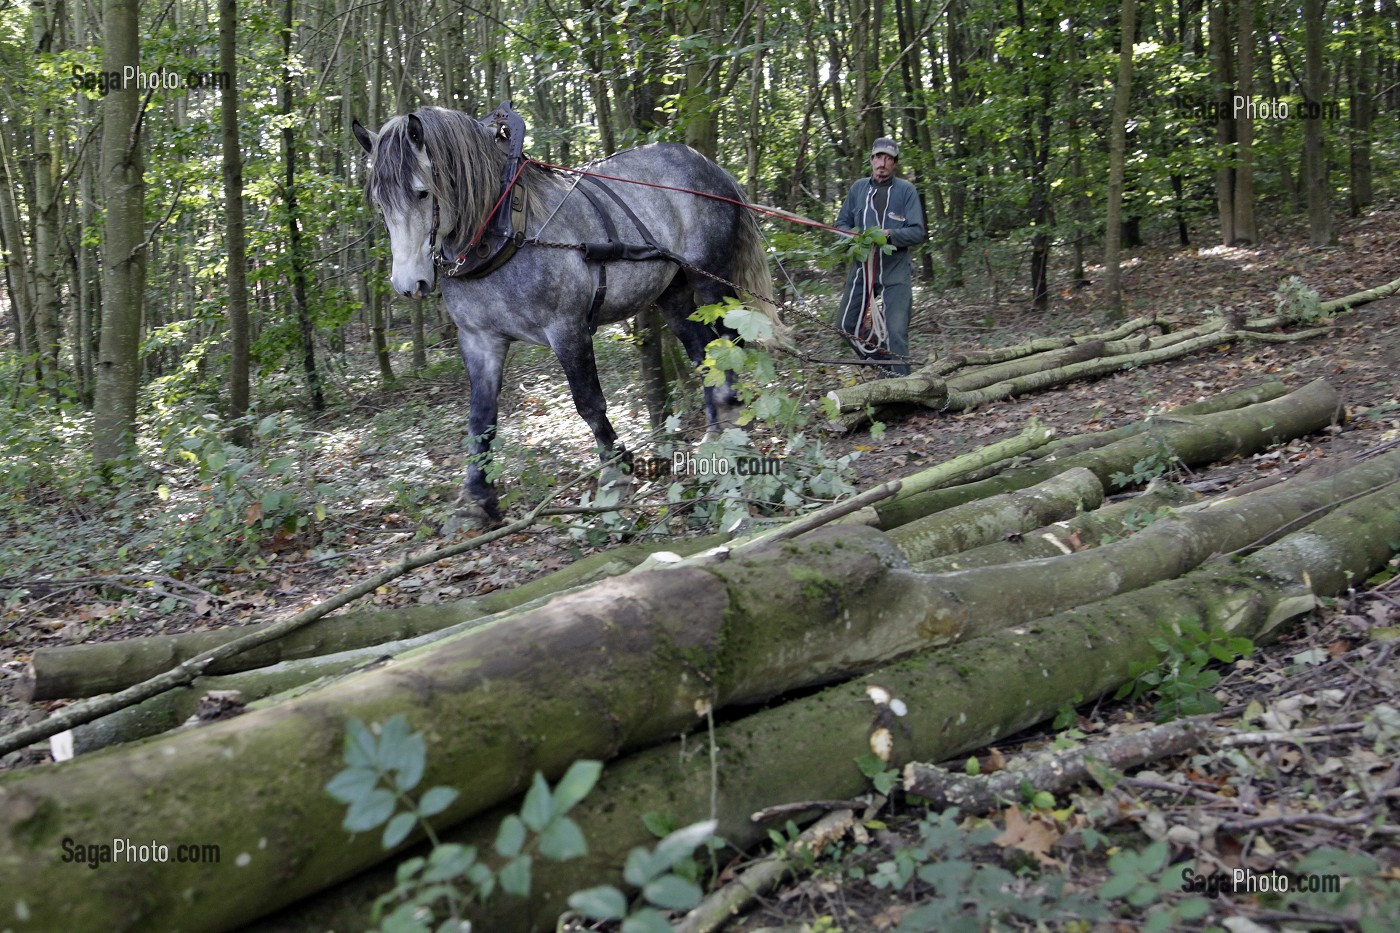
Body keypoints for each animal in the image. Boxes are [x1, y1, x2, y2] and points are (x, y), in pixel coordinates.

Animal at [353, 105, 783, 524]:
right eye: (380, 202)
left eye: (423, 193)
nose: (409, 284)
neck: (503, 230)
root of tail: (709, 166)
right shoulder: (479, 339)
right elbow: (481, 418)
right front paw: (476, 499)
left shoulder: (567, 329)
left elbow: (589, 404)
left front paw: (614, 477)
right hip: (672, 295)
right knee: (702, 354)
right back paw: (714, 435)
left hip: (710, 282)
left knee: (727, 346)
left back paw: (731, 419)